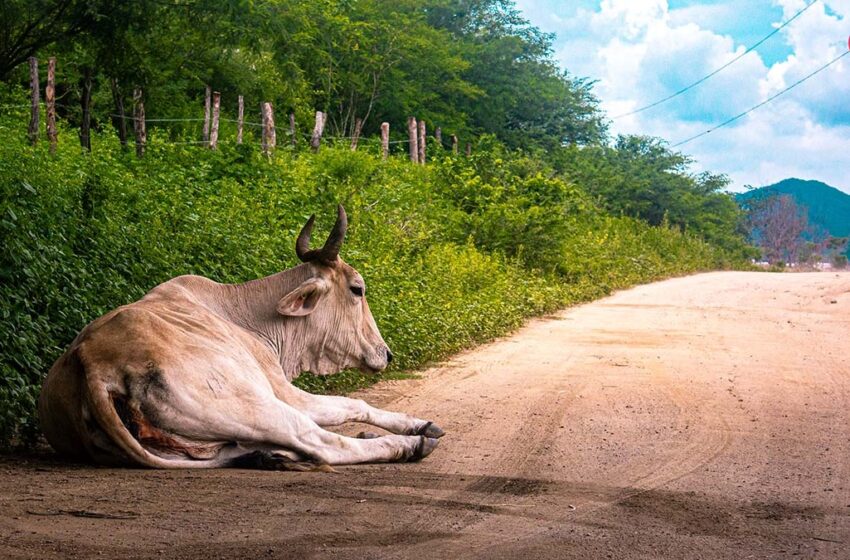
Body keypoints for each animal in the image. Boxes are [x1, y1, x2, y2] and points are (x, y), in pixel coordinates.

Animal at [38, 205, 444, 468]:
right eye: (357, 289)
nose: (385, 354)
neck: (251, 317)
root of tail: (92, 363)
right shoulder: (283, 389)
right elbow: (352, 404)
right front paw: (417, 428)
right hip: (256, 406)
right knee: (318, 441)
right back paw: (407, 446)